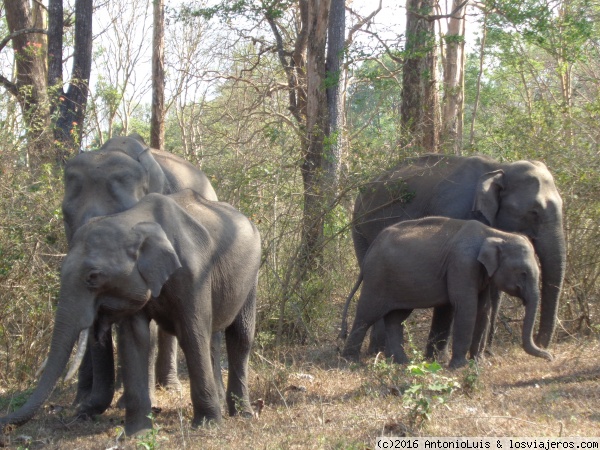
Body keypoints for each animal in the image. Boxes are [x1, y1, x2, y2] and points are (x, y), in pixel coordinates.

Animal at [1, 189, 262, 436]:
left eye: (93, 276)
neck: (134, 219)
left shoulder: (193, 275)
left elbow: (192, 335)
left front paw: (207, 426)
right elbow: (135, 339)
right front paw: (136, 433)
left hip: (252, 276)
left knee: (239, 336)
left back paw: (243, 413)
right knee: (214, 338)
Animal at [342, 217, 552, 370]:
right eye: (523, 273)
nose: (549, 356)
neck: (494, 234)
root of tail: (371, 249)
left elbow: (483, 309)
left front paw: (479, 363)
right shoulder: (462, 264)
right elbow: (466, 307)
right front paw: (459, 367)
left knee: (396, 318)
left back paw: (402, 362)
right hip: (377, 279)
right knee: (367, 314)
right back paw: (351, 360)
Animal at [350, 155, 564, 358]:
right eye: (534, 212)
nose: (545, 348)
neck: (500, 167)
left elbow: (493, 290)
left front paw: (487, 354)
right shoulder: (455, 210)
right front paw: (438, 358)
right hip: (361, 231)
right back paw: (377, 352)